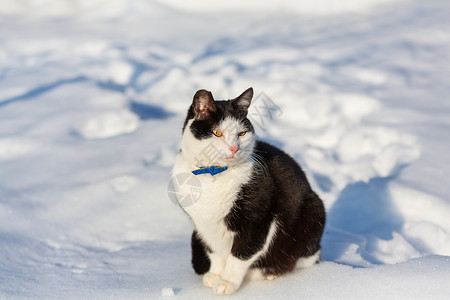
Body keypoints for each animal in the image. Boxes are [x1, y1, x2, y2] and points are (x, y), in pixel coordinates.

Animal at [171, 87, 326, 296]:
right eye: (217, 132)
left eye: (242, 133)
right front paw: (216, 275)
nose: (234, 148)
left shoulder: (258, 221)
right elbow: (214, 251)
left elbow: (241, 253)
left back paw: (269, 272)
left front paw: (227, 281)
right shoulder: (203, 224)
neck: (214, 176)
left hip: (314, 211)